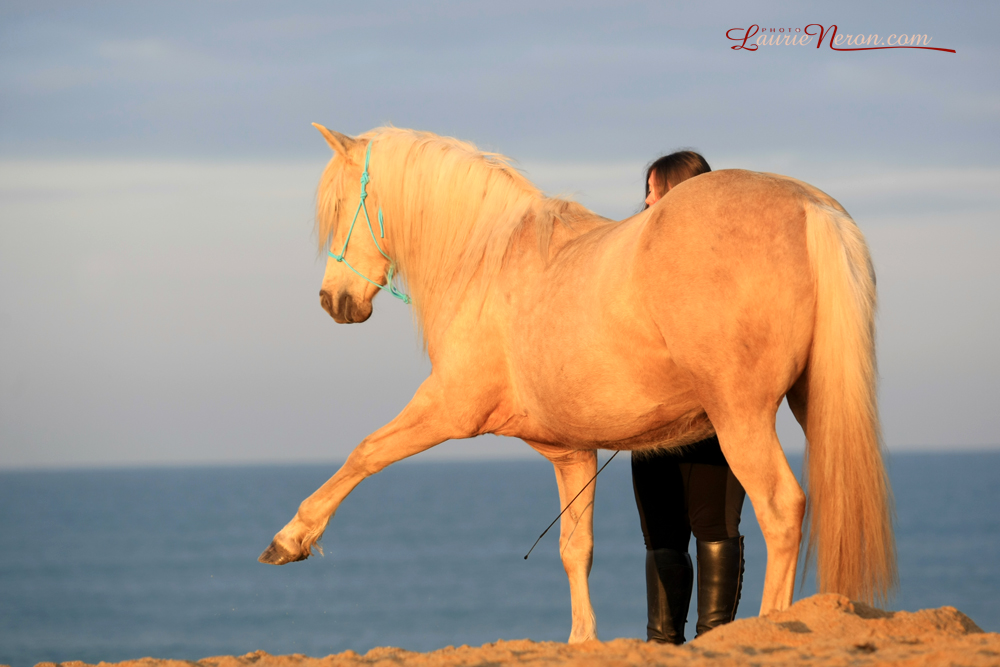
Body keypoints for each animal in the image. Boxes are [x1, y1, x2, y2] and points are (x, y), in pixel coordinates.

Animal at [260, 125, 900, 640]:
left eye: (342, 206)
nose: (333, 301)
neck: (487, 264)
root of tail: (810, 206)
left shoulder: (448, 409)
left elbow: (364, 453)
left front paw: (292, 538)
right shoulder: (572, 453)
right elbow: (576, 549)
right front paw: (582, 639)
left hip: (740, 418)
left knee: (781, 508)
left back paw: (771, 625)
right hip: (811, 405)